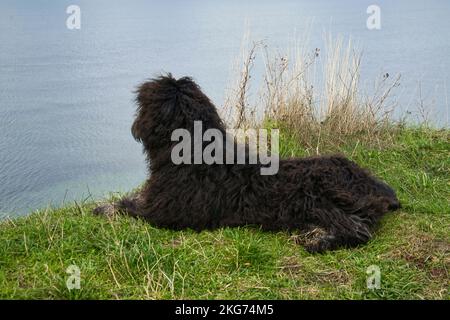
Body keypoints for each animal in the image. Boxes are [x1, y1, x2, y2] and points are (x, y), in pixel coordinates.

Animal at [96, 75, 400, 252]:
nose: (135, 127)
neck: (195, 152)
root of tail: (374, 183)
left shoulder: (167, 213)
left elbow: (127, 208)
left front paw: (103, 208)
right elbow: (131, 200)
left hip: (314, 195)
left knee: (358, 229)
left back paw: (321, 242)